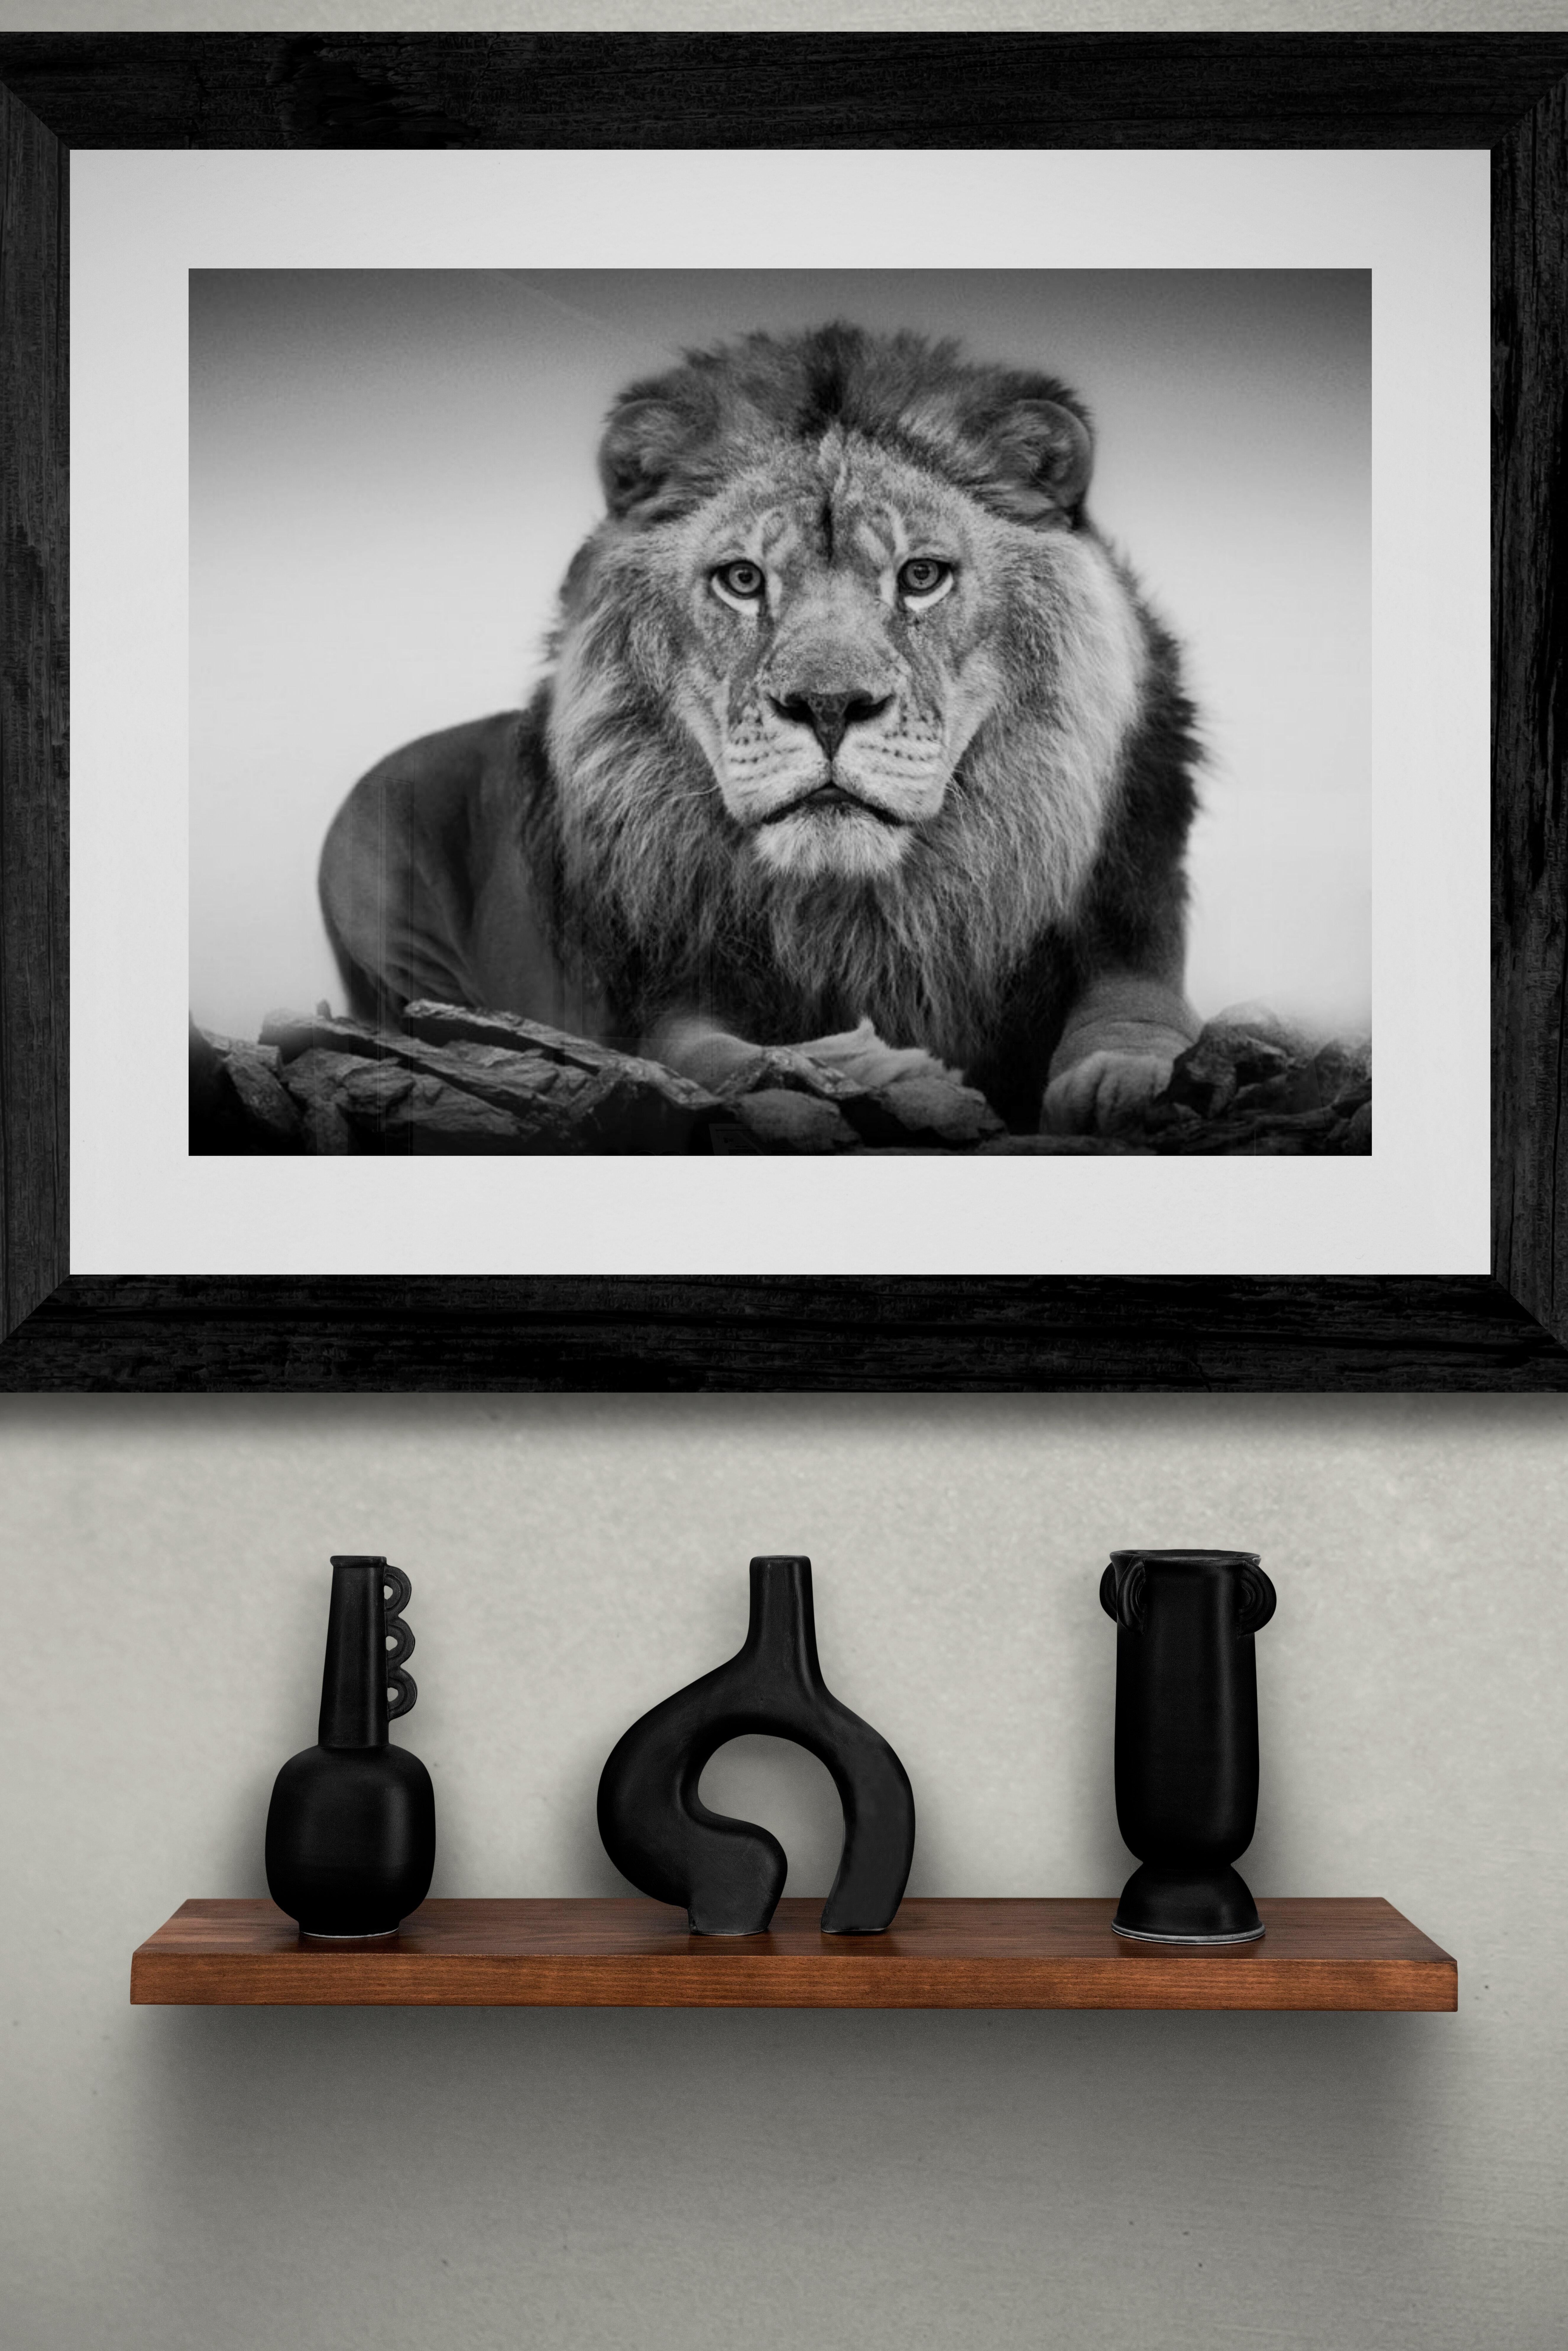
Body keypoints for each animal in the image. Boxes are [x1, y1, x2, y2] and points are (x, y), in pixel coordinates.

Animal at [320, 322, 1202, 1135]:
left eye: (921, 576)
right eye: (742, 580)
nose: (830, 706)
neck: (863, 909)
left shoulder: (1128, 915)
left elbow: (1139, 1005)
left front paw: (1129, 1075)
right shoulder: (666, 989)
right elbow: (702, 1055)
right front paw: (848, 1067)